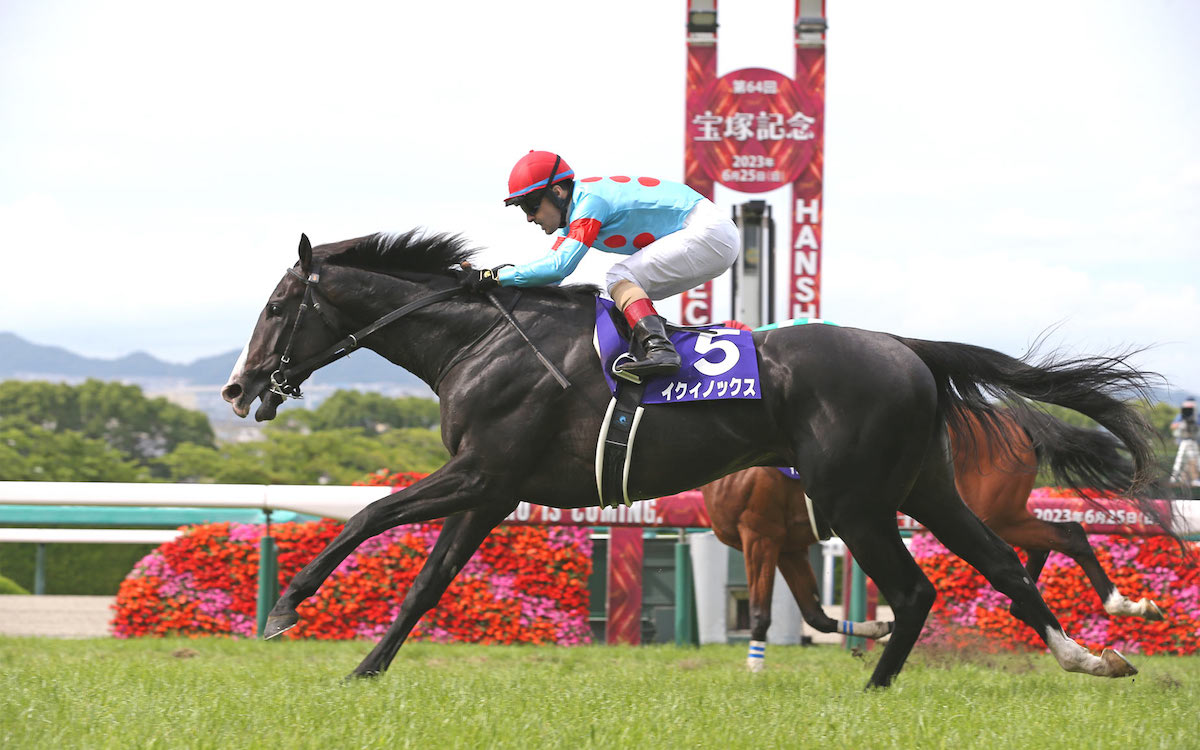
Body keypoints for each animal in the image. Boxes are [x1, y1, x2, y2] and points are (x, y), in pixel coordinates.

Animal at [705, 410, 1166, 672]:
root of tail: (1017, 423)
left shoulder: (759, 536)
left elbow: (762, 612)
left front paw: (754, 671)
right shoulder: (789, 545)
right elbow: (815, 614)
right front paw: (881, 628)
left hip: (984, 510)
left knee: (1062, 536)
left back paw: (1117, 606)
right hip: (999, 513)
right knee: (1055, 538)